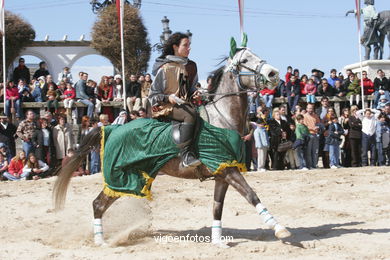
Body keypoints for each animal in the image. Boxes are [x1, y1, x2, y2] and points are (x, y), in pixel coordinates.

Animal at [51, 35, 290, 248]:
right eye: (245, 60)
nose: (273, 73)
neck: (223, 118)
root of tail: (110, 128)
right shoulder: (229, 171)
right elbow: (251, 195)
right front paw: (279, 229)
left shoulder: (223, 173)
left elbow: (217, 207)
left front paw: (218, 241)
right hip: (120, 177)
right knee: (98, 203)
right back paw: (101, 242)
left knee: (99, 203)